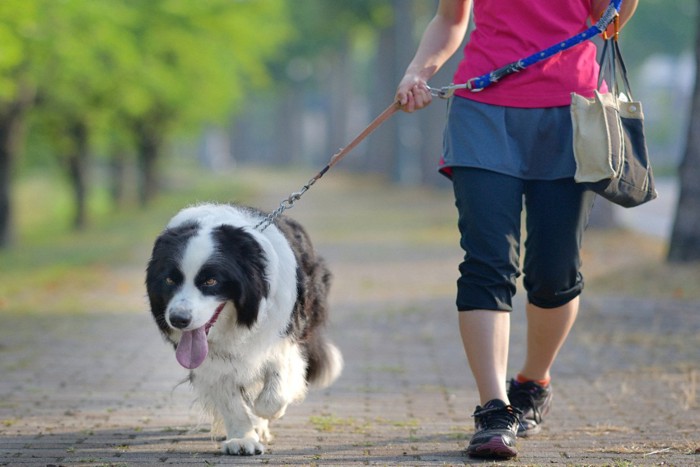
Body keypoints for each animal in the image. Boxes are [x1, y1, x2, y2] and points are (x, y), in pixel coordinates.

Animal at [146, 203, 344, 456]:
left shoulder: (285, 333)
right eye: (170, 280)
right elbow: (229, 398)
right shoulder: (210, 362)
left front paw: (265, 415)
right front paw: (242, 439)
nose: (178, 319)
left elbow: (275, 388)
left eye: (211, 281)